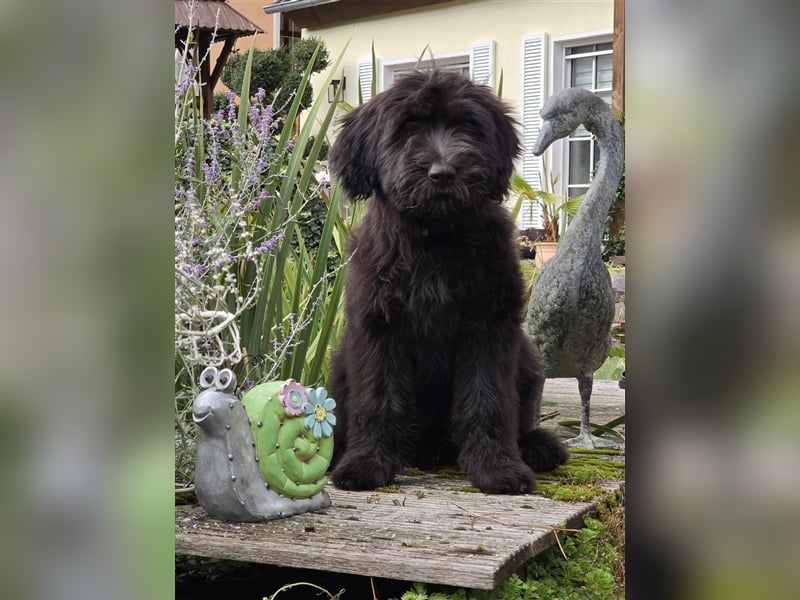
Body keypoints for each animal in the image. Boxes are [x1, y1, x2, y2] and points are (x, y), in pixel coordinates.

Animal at [326, 69, 568, 492]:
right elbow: (377, 400)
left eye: (467, 126)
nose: (442, 173)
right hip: (341, 361)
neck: (434, 238)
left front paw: (497, 468)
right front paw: (366, 464)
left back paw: (536, 447)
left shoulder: (488, 328)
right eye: (408, 128)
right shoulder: (377, 329)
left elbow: (487, 400)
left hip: (528, 359)